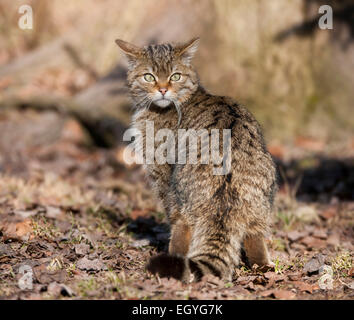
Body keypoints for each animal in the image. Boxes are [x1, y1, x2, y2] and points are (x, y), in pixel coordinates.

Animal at [116, 38, 276, 282]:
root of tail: (225, 203)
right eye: (149, 77)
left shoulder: (161, 174)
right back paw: (263, 267)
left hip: (178, 192)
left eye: (175, 76)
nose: (163, 90)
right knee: (255, 238)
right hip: (263, 203)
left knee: (181, 227)